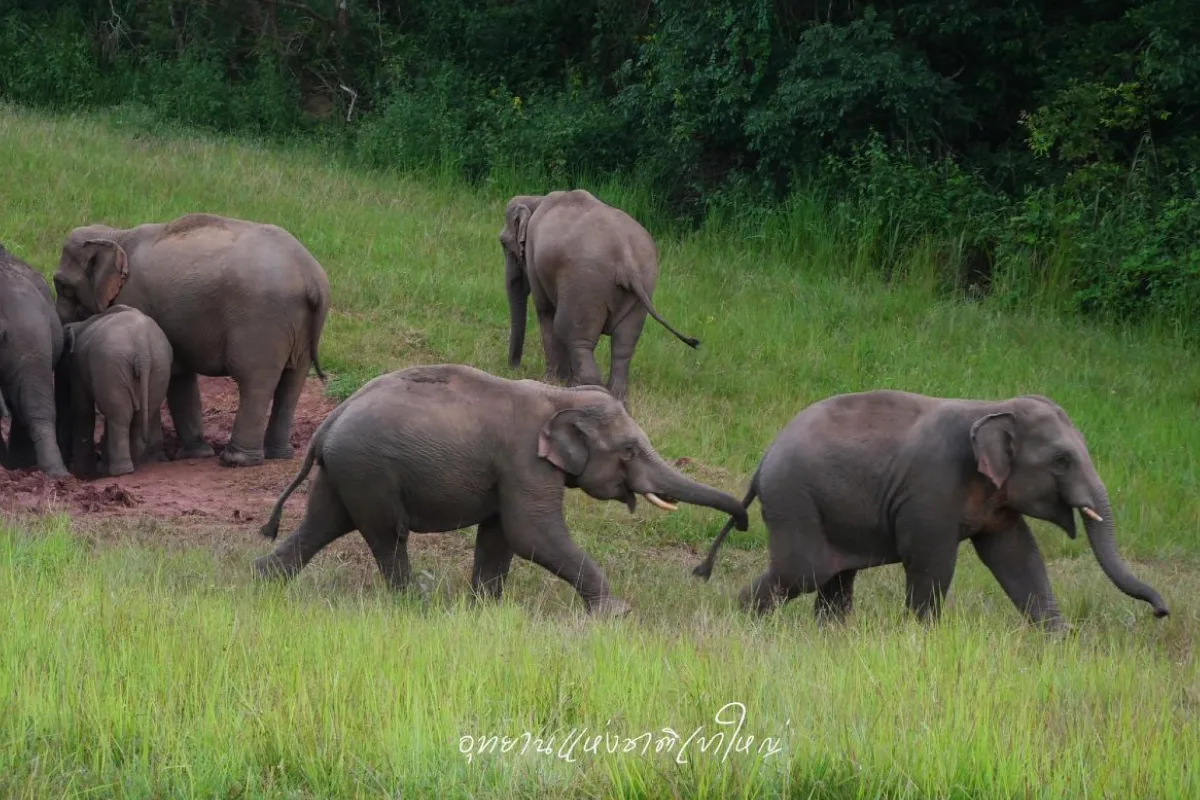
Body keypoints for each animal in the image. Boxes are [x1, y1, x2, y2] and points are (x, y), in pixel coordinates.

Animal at [60, 304, 173, 477]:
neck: (79, 324)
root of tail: (143, 351)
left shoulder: (77, 366)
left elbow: (82, 409)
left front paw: (82, 472)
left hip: (111, 363)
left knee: (119, 415)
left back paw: (118, 471)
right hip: (160, 367)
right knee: (138, 416)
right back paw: (132, 464)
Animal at [255, 364, 749, 615]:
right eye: (628, 450)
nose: (743, 523)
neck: (560, 396)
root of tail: (328, 422)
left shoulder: (509, 472)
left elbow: (500, 535)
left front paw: (486, 610)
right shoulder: (524, 463)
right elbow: (532, 535)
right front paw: (617, 613)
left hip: (346, 472)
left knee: (324, 524)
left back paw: (263, 580)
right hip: (369, 470)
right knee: (387, 536)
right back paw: (416, 602)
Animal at [500, 189, 700, 403]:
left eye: (503, 243)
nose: (515, 368)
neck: (537, 198)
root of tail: (625, 256)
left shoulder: (534, 258)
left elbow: (545, 312)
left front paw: (551, 380)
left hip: (585, 284)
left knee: (570, 333)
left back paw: (583, 390)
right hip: (642, 286)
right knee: (623, 343)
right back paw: (615, 395)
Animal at [693, 390, 1169, 630]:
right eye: (1062, 460)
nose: (1161, 613)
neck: (992, 406)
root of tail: (762, 463)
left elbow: (1017, 557)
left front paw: (1058, 642)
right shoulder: (930, 490)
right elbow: (931, 560)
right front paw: (924, 639)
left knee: (835, 580)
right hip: (796, 501)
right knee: (802, 573)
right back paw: (743, 624)